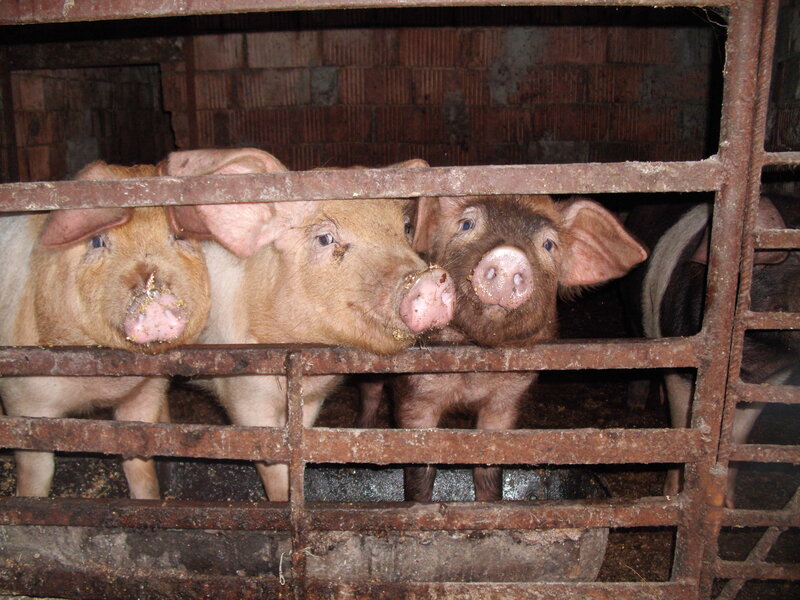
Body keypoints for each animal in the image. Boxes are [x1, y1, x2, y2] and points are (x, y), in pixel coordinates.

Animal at [0, 161, 211, 498]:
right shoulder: (21, 397)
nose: (152, 298)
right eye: (98, 241)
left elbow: (140, 465)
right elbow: (36, 471)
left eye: (178, 237)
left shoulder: (145, 390)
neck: (98, 389)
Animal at [161, 148, 456, 501]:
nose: (430, 278)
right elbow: (272, 463)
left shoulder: (313, 399)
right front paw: (281, 501)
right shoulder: (243, 392)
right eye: (325, 238)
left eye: (406, 227)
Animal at [366, 194, 648, 502]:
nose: (509, 257)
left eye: (548, 244)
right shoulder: (416, 392)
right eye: (467, 224)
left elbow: (490, 467)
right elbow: (419, 471)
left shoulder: (508, 397)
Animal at [623, 194, 800, 507]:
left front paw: (727, 506)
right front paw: (673, 494)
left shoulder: (772, 380)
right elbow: (684, 426)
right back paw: (636, 405)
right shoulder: (680, 356)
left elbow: (738, 438)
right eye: (794, 255)